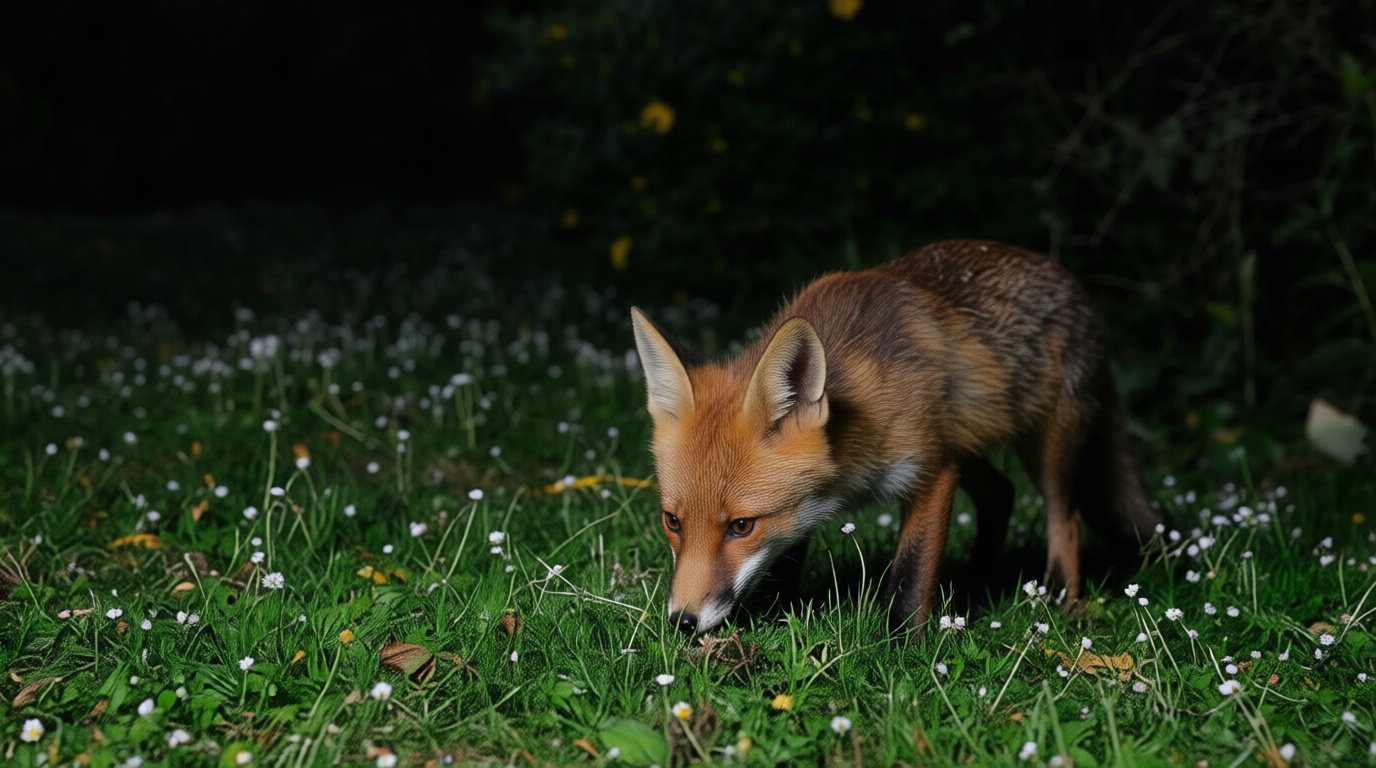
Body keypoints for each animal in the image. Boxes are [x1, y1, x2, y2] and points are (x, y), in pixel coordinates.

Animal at [630, 240, 1161, 637]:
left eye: (741, 526)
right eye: (672, 521)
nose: (682, 621)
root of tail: (1070, 281)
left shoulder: (932, 470)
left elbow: (909, 578)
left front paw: (906, 652)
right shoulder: (810, 500)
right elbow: (788, 555)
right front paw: (772, 615)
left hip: (1046, 445)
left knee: (1064, 516)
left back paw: (1062, 601)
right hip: (968, 444)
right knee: (1002, 493)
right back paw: (977, 579)